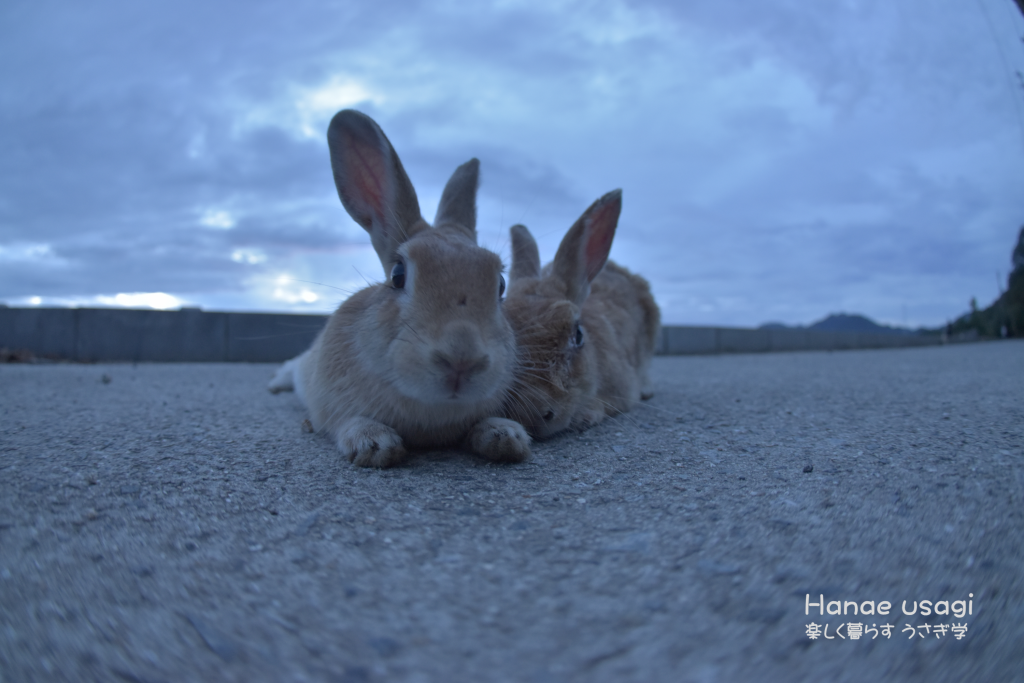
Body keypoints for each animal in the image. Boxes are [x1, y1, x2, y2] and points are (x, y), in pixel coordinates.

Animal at [268, 109, 532, 466]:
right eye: (398, 274)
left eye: (501, 284)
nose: (462, 361)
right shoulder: (330, 408)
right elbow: (347, 422)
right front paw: (375, 444)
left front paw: (506, 435)